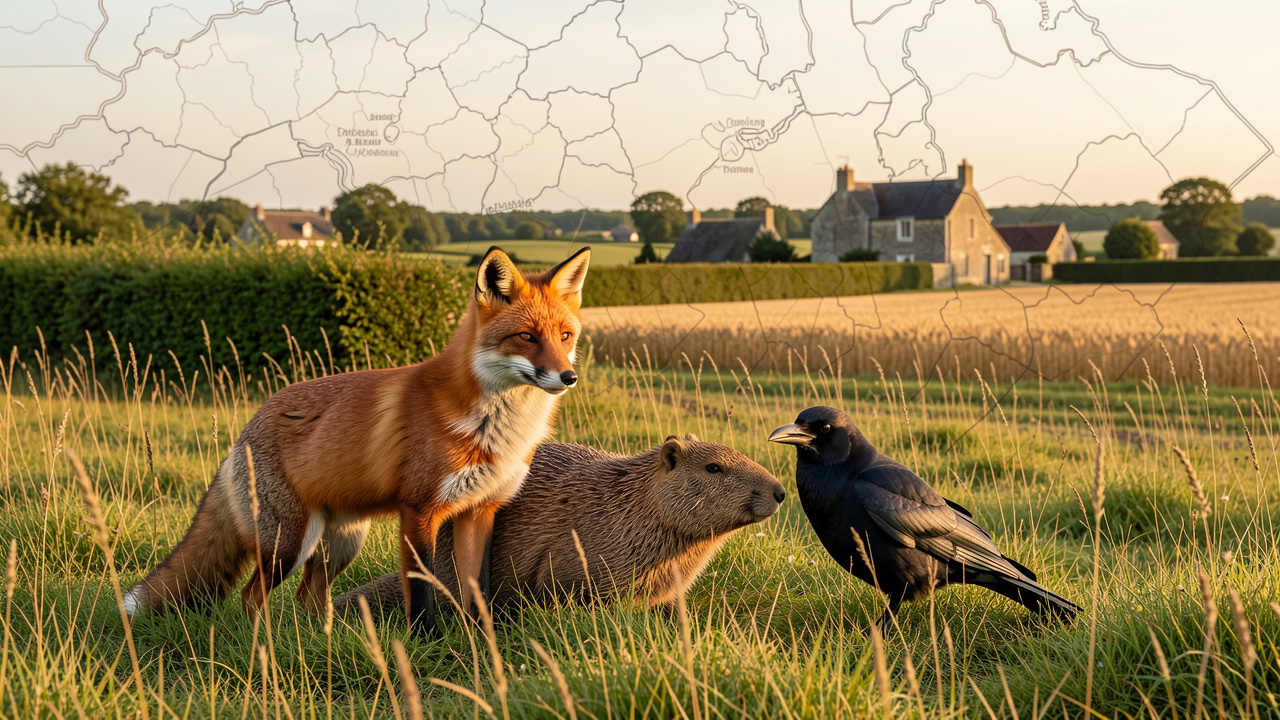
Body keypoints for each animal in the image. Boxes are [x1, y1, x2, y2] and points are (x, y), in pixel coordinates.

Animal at [125, 246, 591, 637]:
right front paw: (424, 643)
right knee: (251, 596)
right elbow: (421, 590)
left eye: (565, 336)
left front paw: (482, 642)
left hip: (341, 545)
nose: (568, 377)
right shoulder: (419, 510)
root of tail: (248, 426)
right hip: (288, 545)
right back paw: (266, 646)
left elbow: (477, 591)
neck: (493, 427)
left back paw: (325, 642)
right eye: (527, 337)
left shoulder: (481, 509)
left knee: (309, 596)